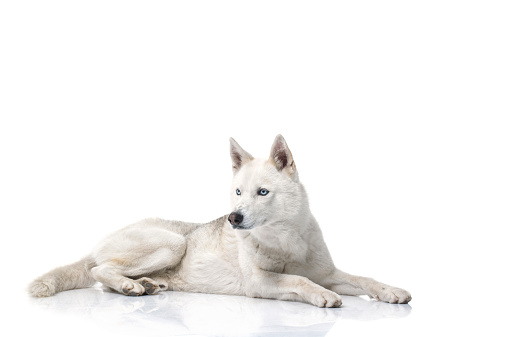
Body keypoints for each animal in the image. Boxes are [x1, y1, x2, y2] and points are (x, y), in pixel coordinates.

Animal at [29, 135, 412, 306]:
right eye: (238, 192)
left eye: (262, 192)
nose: (233, 217)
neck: (285, 240)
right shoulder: (260, 282)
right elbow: (299, 280)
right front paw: (322, 296)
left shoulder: (329, 272)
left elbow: (363, 279)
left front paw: (391, 291)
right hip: (173, 242)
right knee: (99, 270)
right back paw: (131, 285)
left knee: (105, 276)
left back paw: (146, 285)